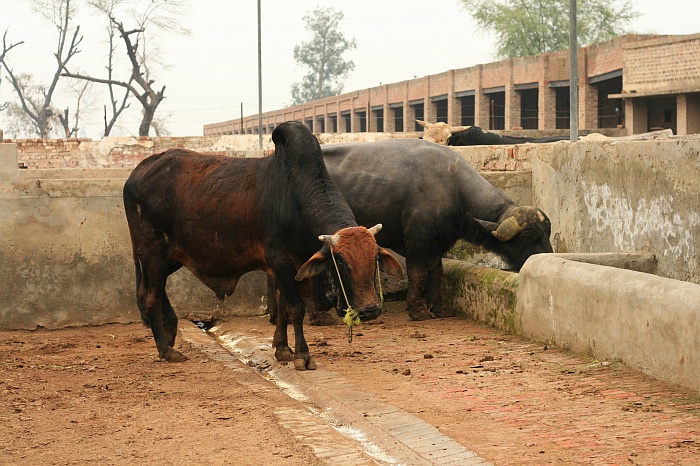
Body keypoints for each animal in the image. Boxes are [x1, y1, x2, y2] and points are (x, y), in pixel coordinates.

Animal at [123, 121, 404, 369]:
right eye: (342, 265)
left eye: (374, 261)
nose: (370, 310)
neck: (295, 196)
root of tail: (138, 171)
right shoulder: (281, 260)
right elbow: (296, 308)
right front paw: (303, 356)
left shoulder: (290, 266)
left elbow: (283, 306)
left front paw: (283, 349)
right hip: (152, 253)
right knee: (149, 296)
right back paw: (166, 350)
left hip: (171, 257)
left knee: (158, 291)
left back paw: (170, 334)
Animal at [312, 138, 553, 321]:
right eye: (529, 237)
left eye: (546, 233)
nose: (546, 255)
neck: (453, 189)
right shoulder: (418, 242)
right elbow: (418, 273)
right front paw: (417, 310)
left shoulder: (439, 243)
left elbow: (436, 273)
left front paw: (439, 307)